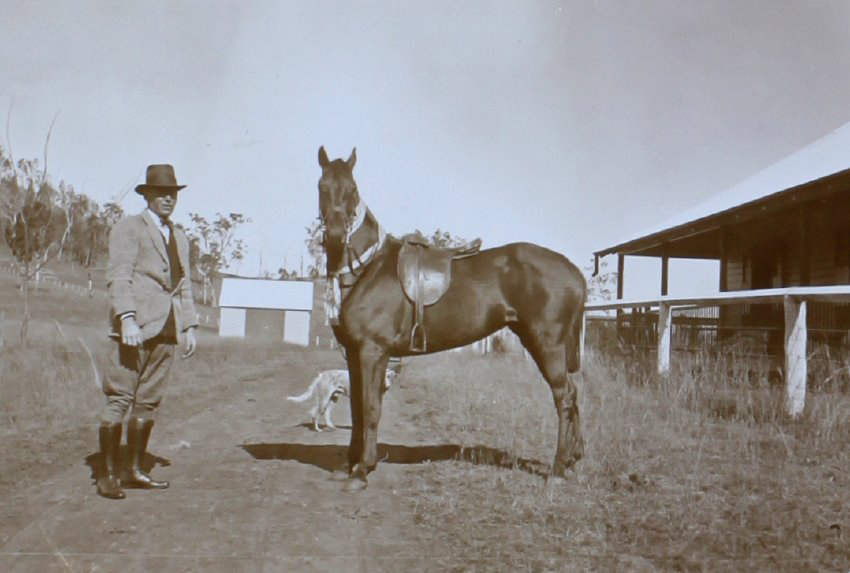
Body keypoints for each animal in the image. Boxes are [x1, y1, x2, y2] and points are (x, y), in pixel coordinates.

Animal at [316, 146, 587, 492]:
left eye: (352, 190)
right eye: (322, 187)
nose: (336, 236)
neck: (368, 267)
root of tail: (573, 270)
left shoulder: (373, 352)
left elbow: (371, 408)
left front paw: (363, 469)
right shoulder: (353, 353)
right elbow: (357, 409)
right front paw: (348, 465)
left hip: (547, 345)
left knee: (564, 397)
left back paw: (557, 468)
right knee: (573, 395)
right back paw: (573, 461)